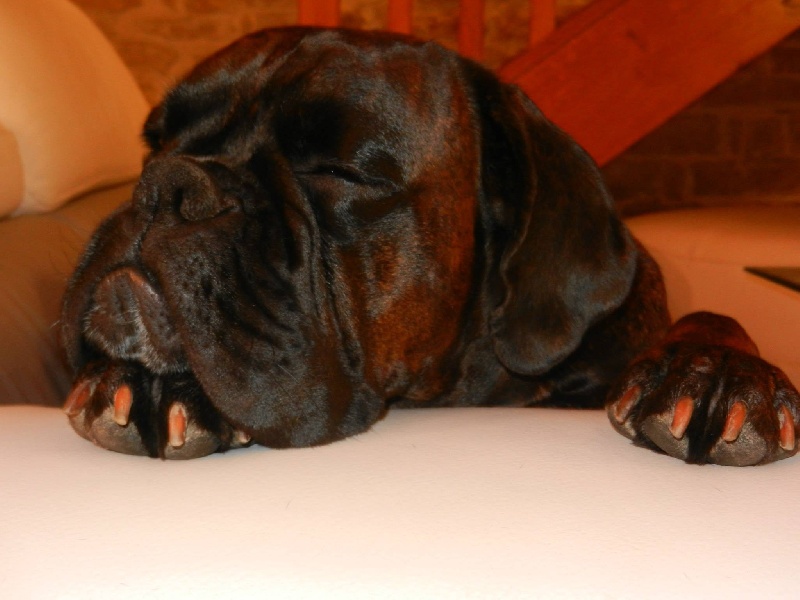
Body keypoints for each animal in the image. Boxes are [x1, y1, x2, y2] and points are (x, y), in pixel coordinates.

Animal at [61, 27, 799, 465]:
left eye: (339, 171)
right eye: (155, 141)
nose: (166, 183)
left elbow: (713, 318)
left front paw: (714, 370)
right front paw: (159, 383)